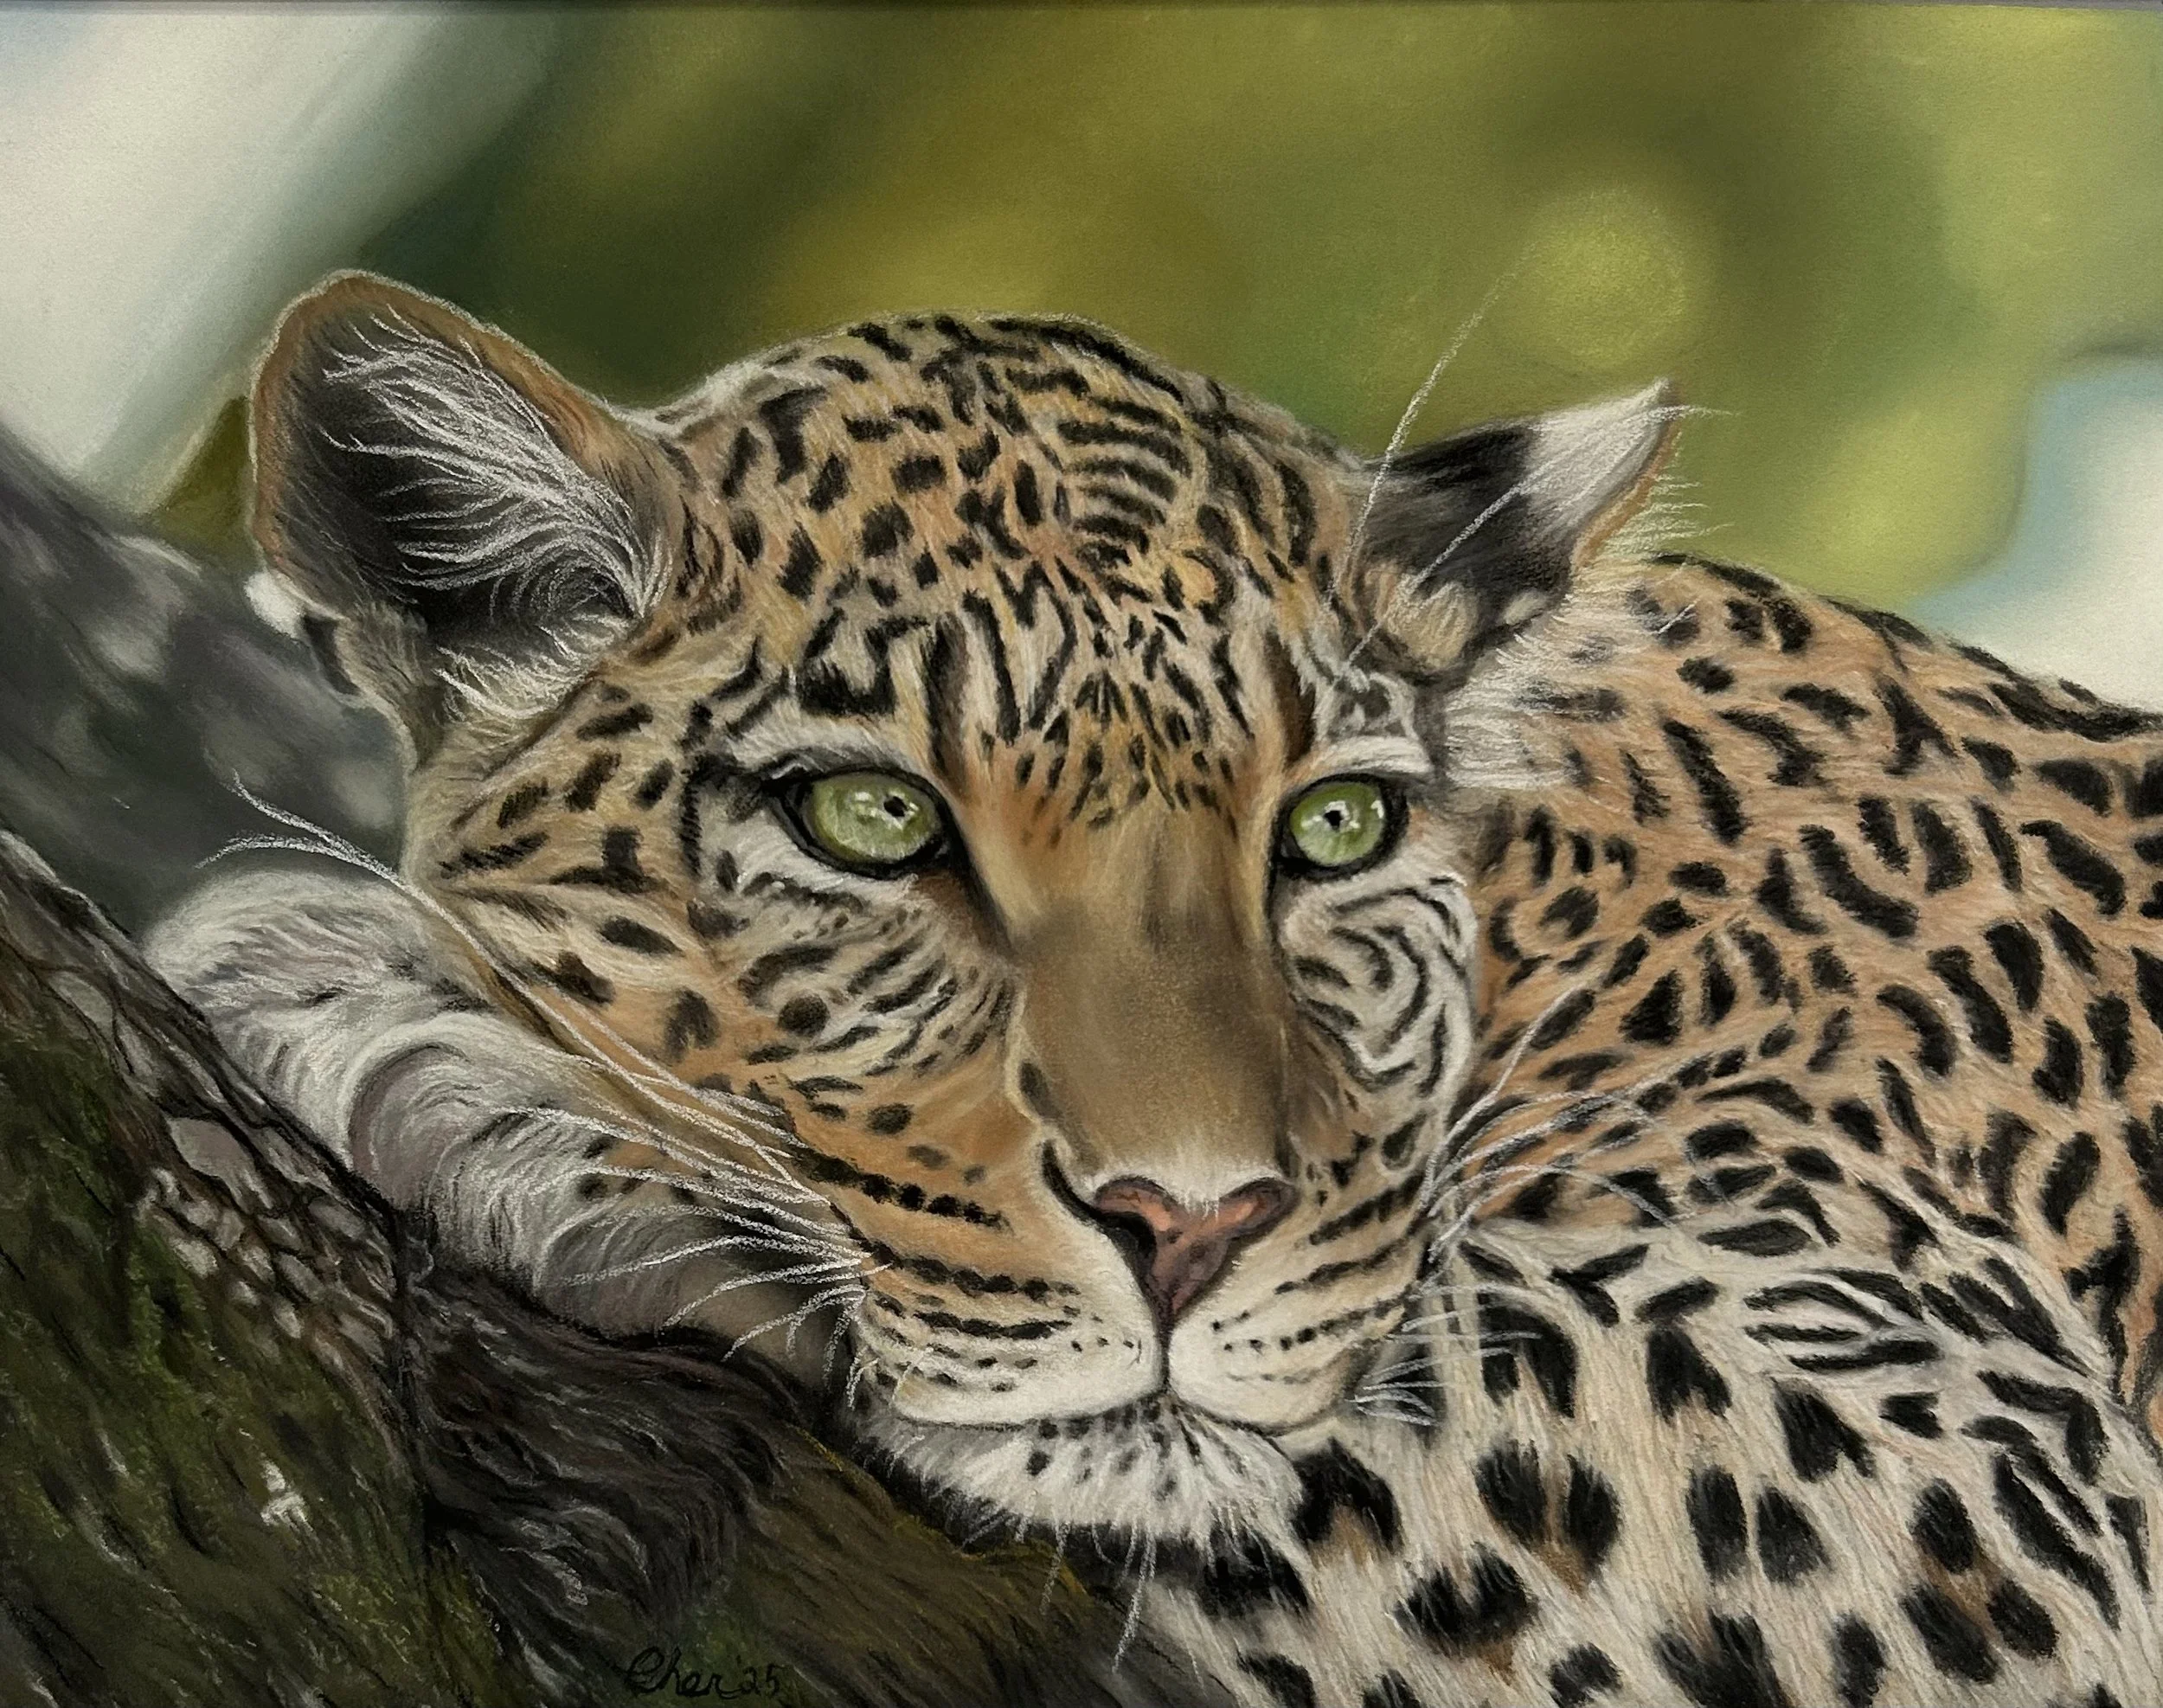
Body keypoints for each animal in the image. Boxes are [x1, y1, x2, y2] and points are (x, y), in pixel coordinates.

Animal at [147, 271, 2163, 1707]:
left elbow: (1381, 1363)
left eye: (1335, 827)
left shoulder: (2010, 1491)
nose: (1184, 1229)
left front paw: (448, 1053)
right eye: (871, 818)